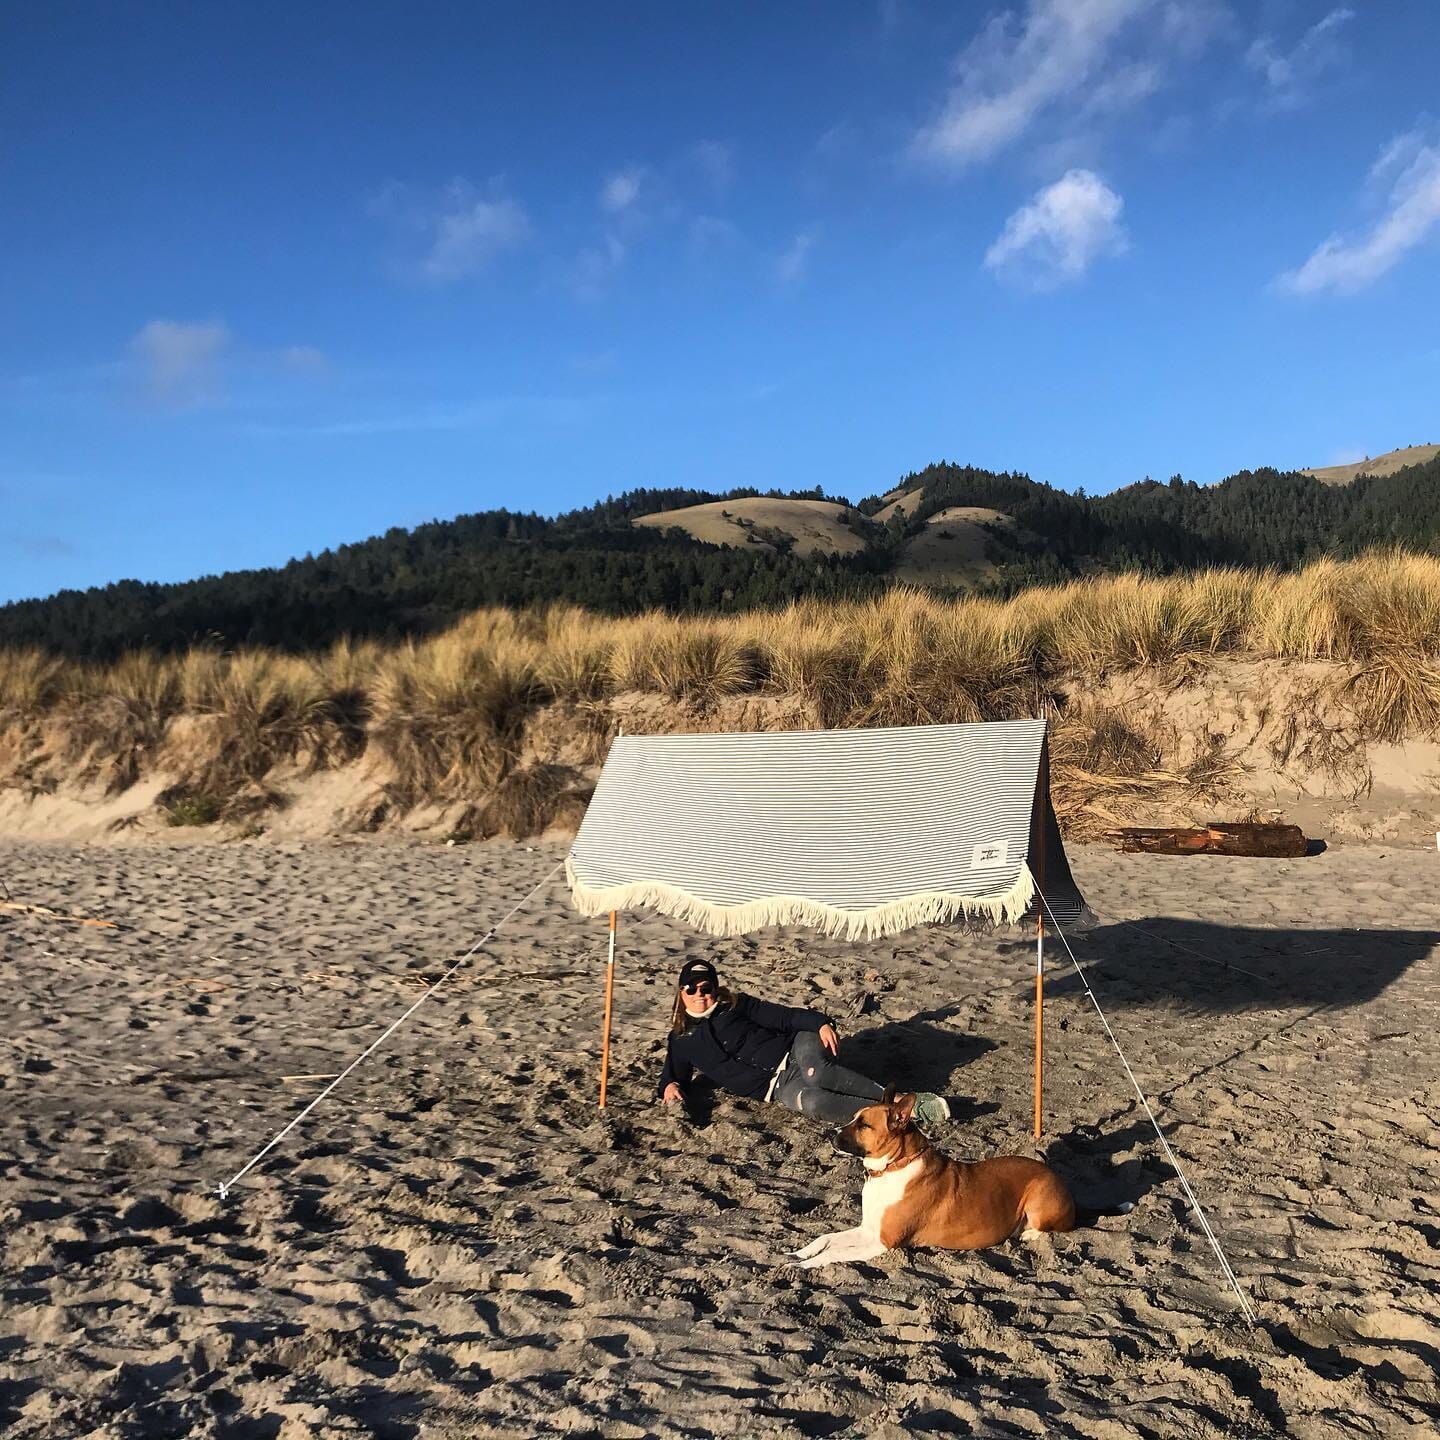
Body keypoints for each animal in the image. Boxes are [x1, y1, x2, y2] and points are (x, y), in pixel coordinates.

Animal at [783, 1088, 1128, 1272]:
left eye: (864, 1125)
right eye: (854, 1118)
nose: (829, 1135)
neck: (893, 1167)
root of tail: (1066, 1190)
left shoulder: (883, 1242)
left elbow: (834, 1253)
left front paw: (804, 1265)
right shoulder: (868, 1230)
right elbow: (826, 1239)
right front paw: (800, 1253)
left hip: (1038, 1199)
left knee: (1053, 1227)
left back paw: (1028, 1234)